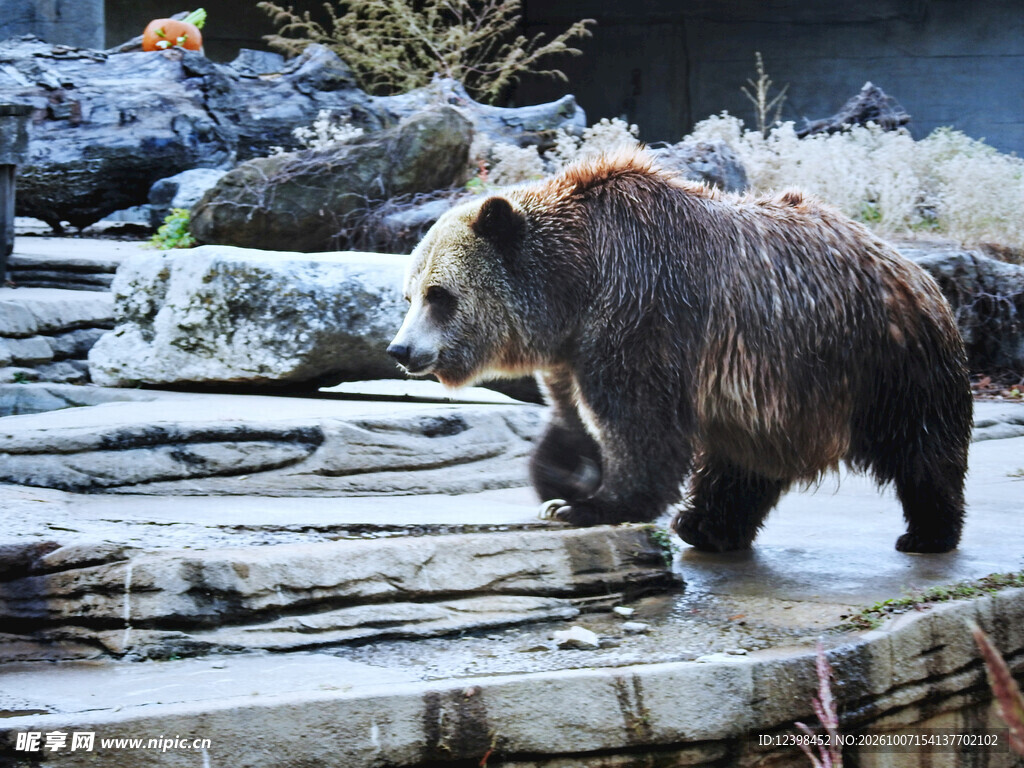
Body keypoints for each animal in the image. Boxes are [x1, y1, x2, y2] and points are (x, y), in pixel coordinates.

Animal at [386, 147, 973, 553]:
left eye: (441, 295)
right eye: (409, 294)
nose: (401, 349)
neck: (576, 283)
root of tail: (917, 271)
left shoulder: (644, 305)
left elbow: (641, 420)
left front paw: (595, 504)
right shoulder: (573, 348)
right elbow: (573, 415)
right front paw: (561, 483)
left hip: (880, 360)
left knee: (920, 444)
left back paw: (928, 532)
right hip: (782, 388)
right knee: (746, 458)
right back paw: (707, 526)